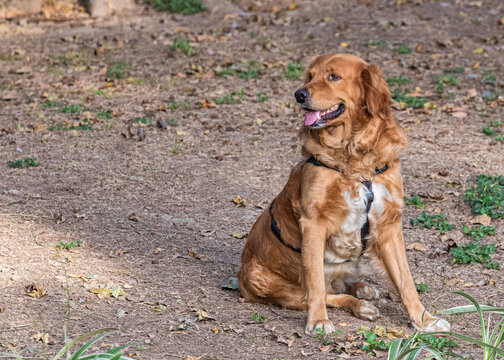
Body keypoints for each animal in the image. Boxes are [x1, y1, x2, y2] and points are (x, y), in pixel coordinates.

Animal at [238, 52, 450, 334]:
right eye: (310, 76)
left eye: (333, 76)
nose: (299, 94)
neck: (353, 155)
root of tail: (240, 277)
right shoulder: (313, 222)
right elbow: (316, 284)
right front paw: (318, 320)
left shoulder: (389, 224)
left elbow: (406, 281)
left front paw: (425, 320)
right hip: (270, 283)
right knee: (321, 293)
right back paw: (359, 305)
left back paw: (362, 288)